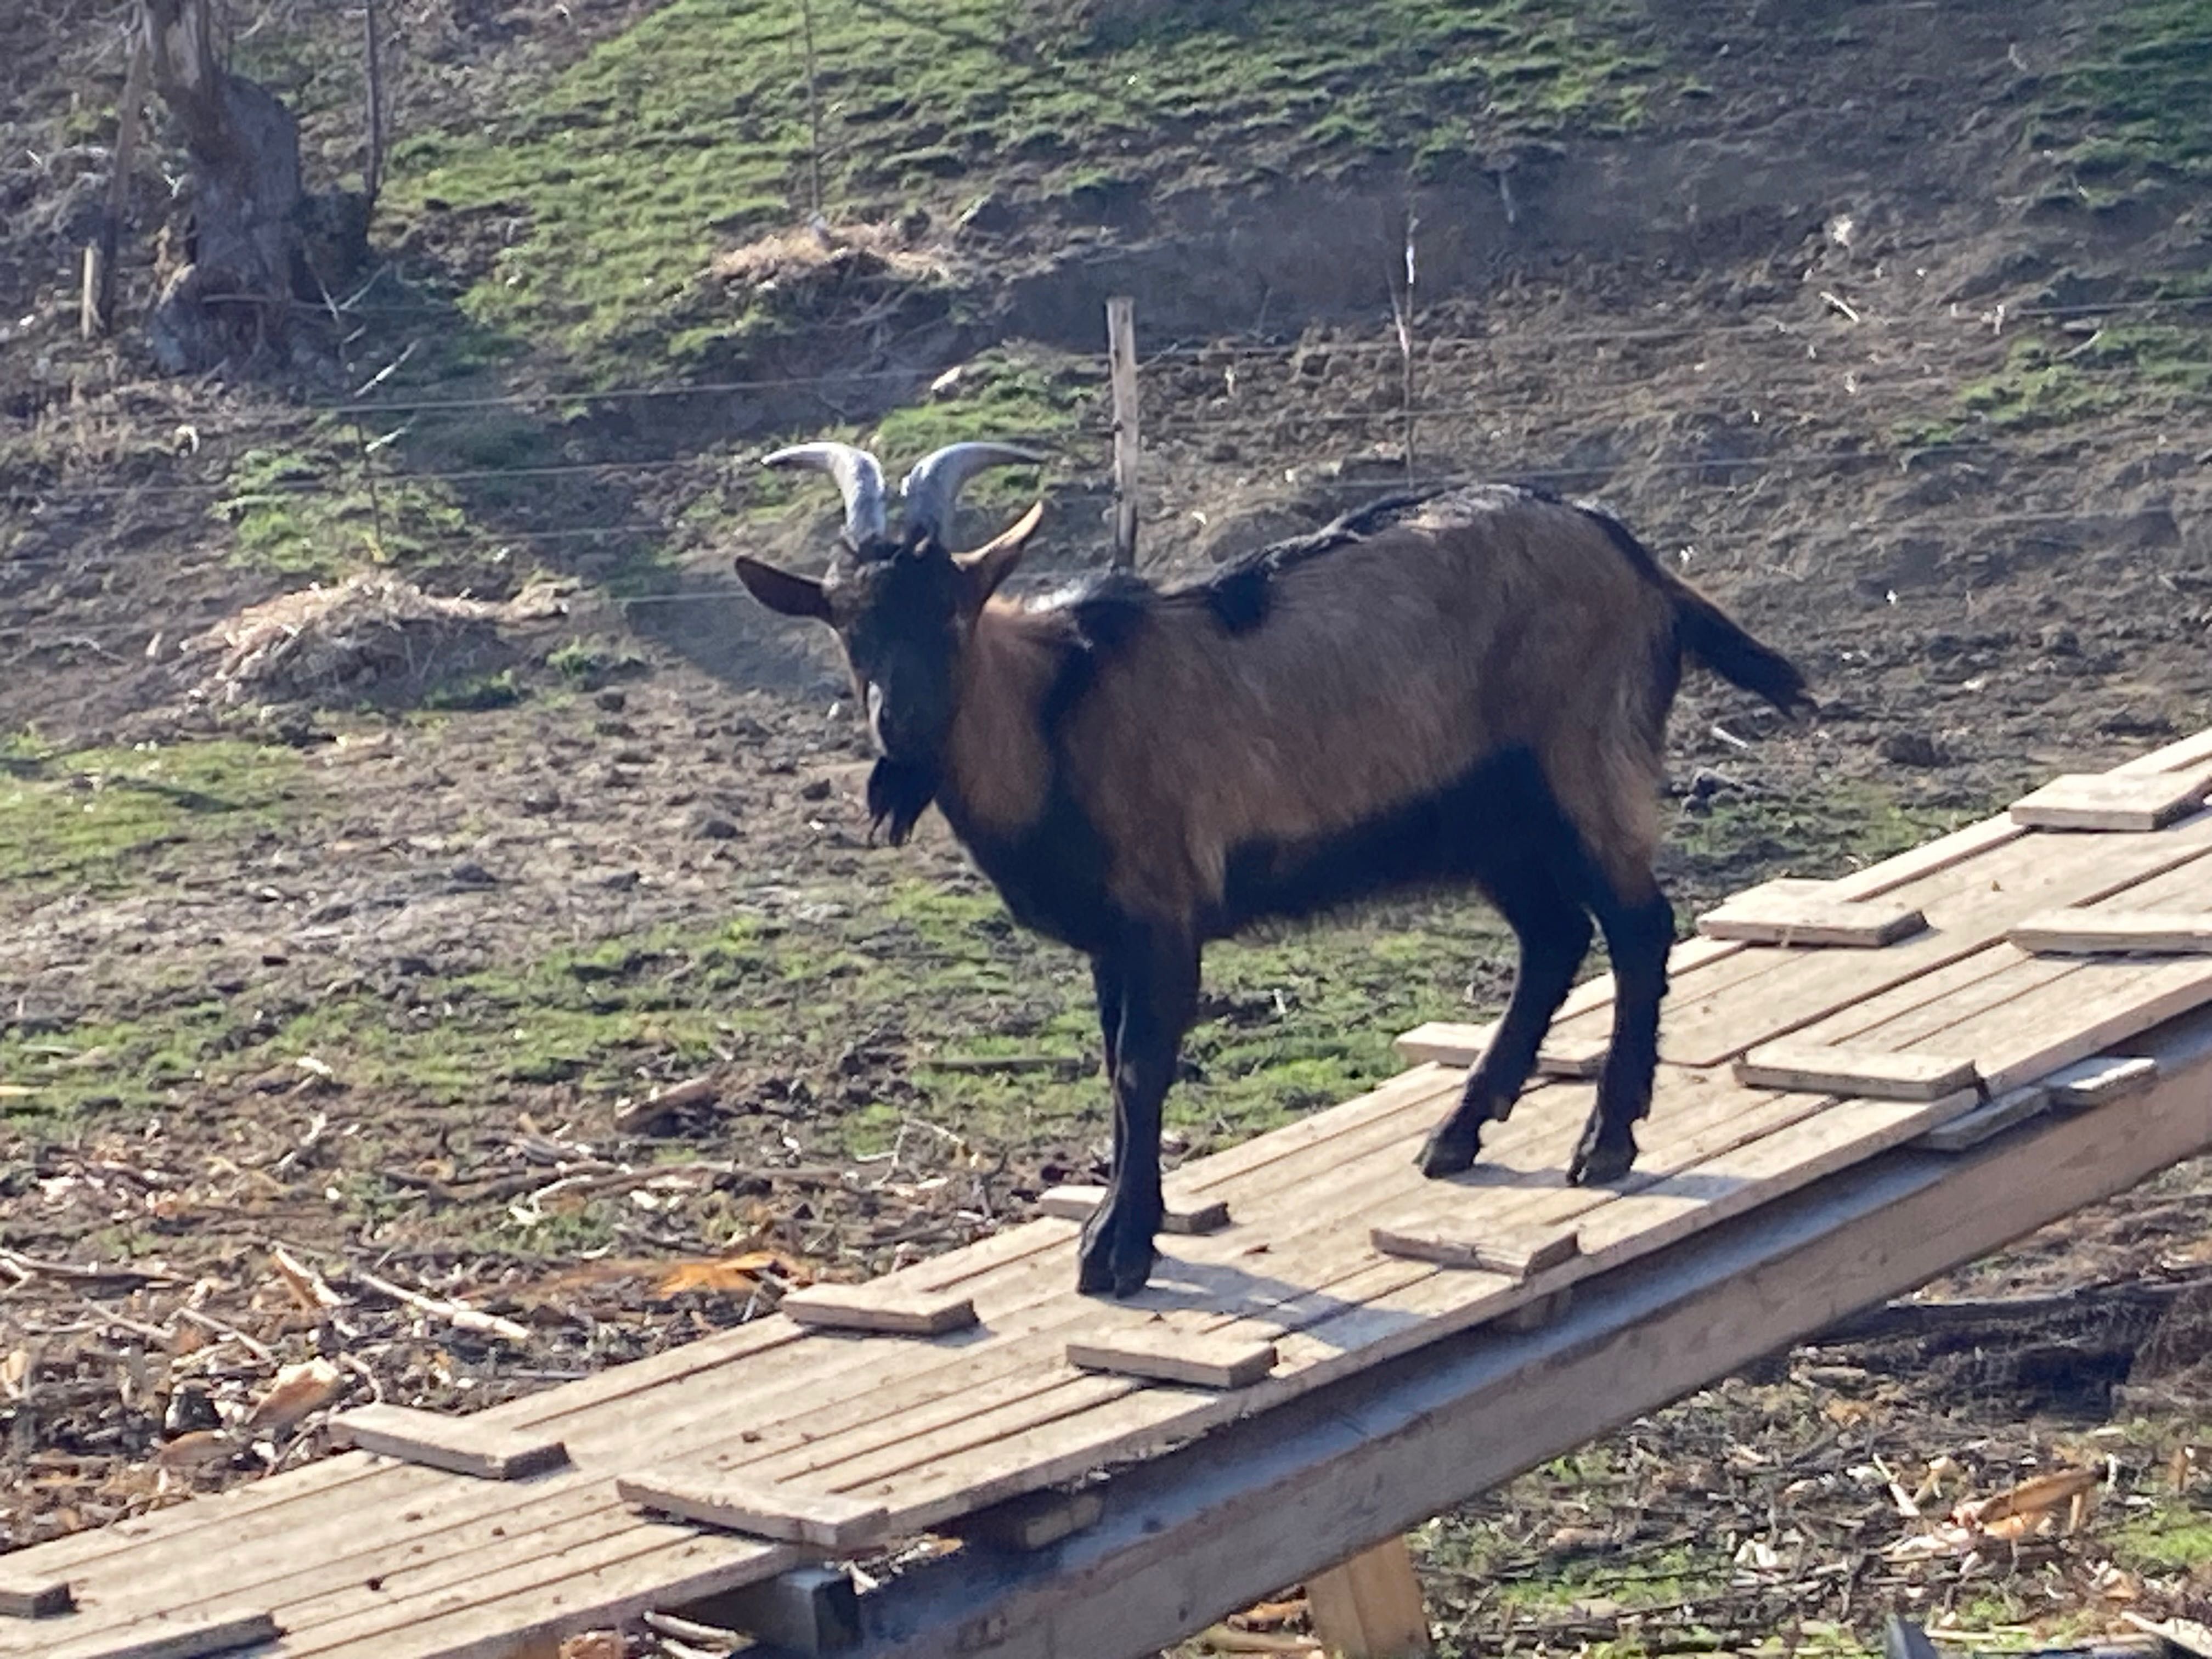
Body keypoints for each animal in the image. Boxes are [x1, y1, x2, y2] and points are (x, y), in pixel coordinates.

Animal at [734, 442, 1805, 1300]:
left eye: (954, 611)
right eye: (845, 623)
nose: (903, 726)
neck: (1055, 706)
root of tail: (1640, 565)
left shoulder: (1164, 907)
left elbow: (1141, 1069)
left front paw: (1118, 1251)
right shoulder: (1110, 938)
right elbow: (1114, 1065)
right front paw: (1123, 1230)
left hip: (1581, 768)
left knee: (1637, 924)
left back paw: (1605, 1141)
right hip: (1490, 823)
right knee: (1555, 937)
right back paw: (1457, 1132)